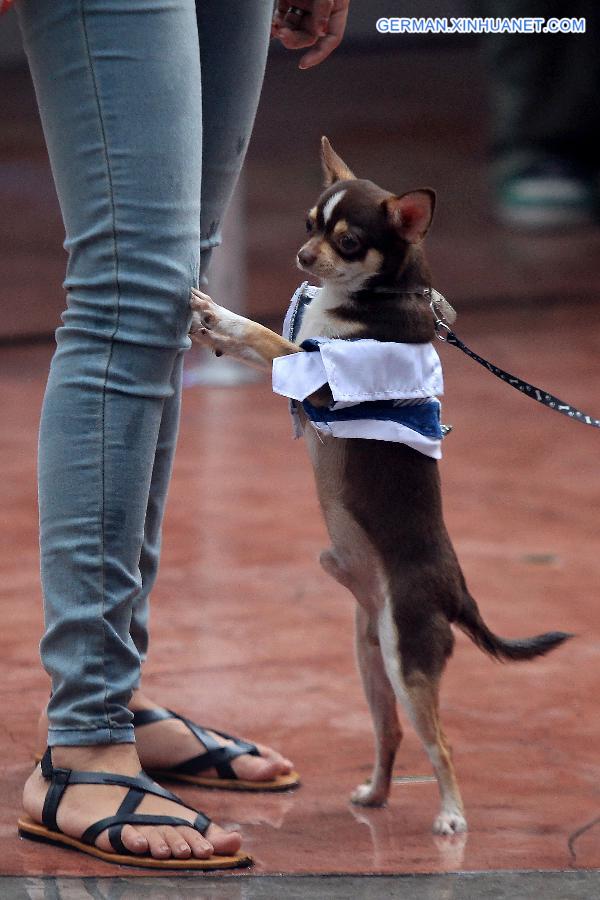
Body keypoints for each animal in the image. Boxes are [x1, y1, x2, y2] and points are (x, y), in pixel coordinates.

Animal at [190, 137, 568, 832]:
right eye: (308, 226)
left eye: (347, 241)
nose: (302, 258)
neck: (372, 295)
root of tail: (455, 589)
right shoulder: (301, 357)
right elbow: (262, 342)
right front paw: (207, 327)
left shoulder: (313, 374)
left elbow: (260, 335)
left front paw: (215, 312)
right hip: (372, 660)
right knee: (390, 733)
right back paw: (375, 793)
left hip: (408, 662)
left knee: (440, 745)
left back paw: (451, 817)